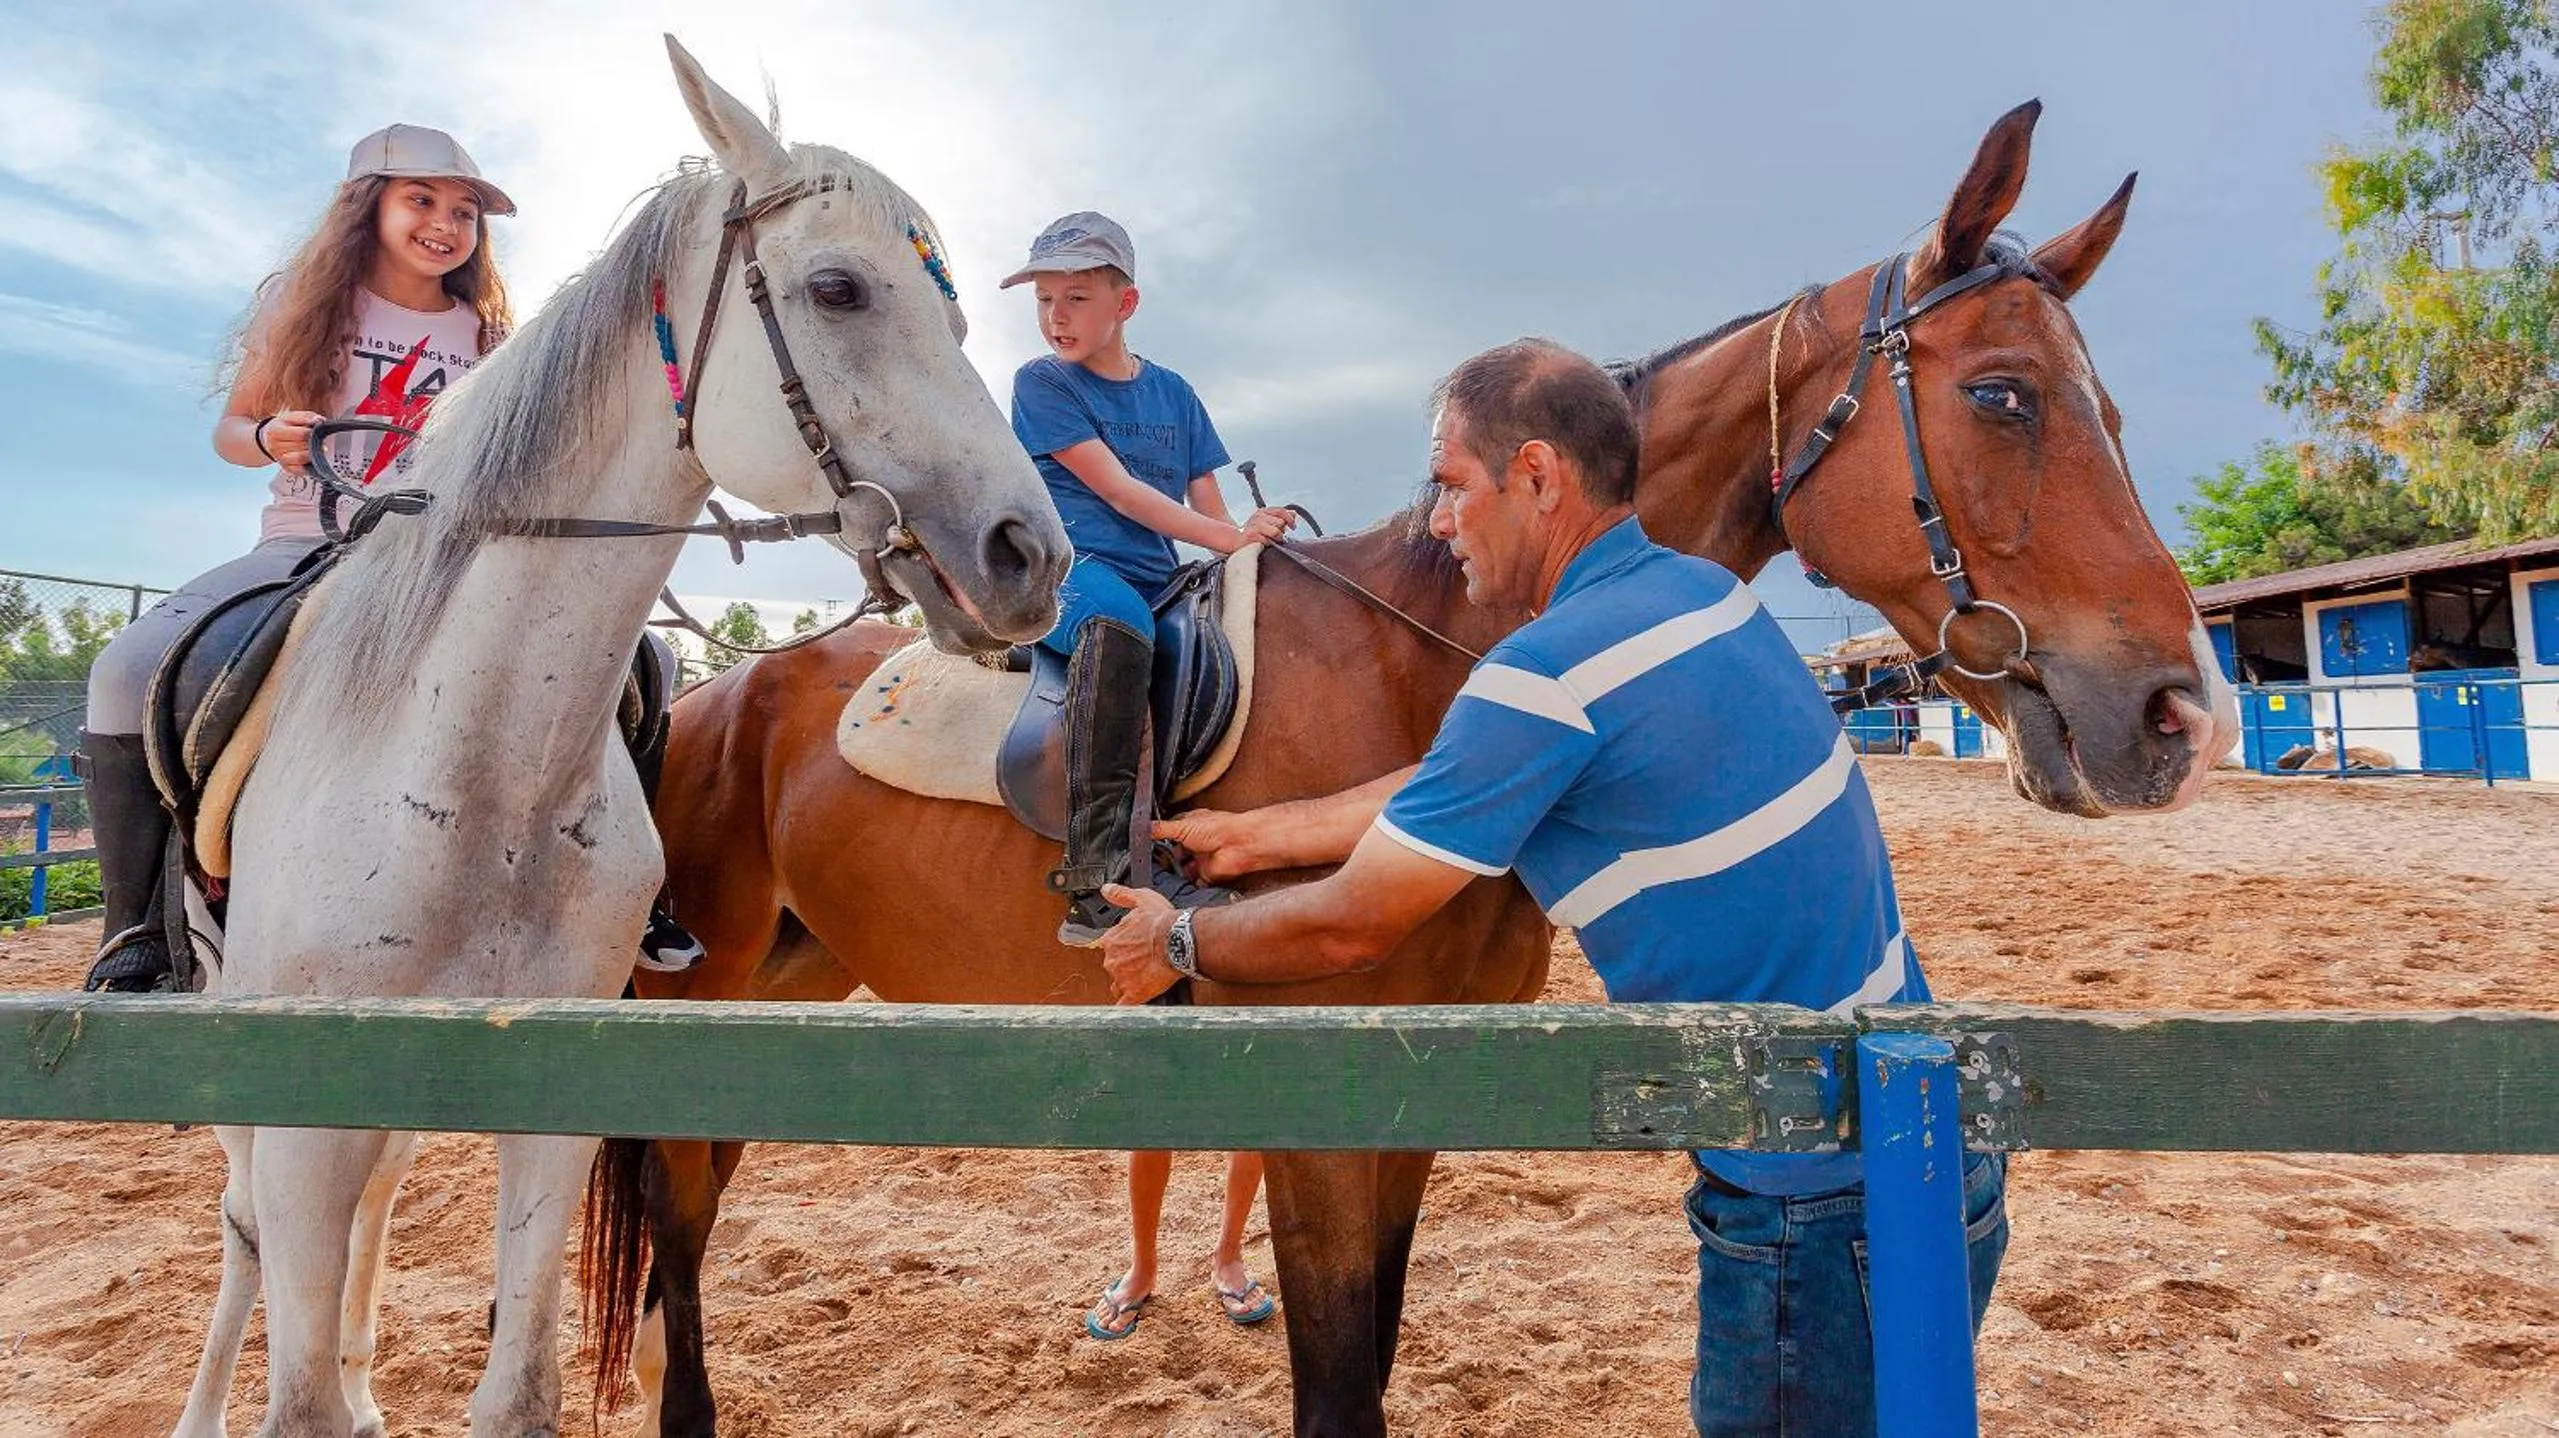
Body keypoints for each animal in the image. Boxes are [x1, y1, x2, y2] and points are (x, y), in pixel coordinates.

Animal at [168, 39, 1068, 1438]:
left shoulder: (551, 1083)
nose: (1032, 556)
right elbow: (293, 1375)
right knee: (245, 1226)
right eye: (838, 288)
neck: (468, 775)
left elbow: (516, 1390)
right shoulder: (299, 1099)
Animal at [586, 99, 2240, 1436]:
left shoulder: (1411, 1098)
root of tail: (724, 698)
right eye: (2002, 394)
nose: (2173, 711)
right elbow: (1335, 1383)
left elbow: (1368, 1357)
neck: (1423, 661)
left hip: (780, 992)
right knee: (674, 1230)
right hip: (697, 997)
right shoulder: (1316, 1113)